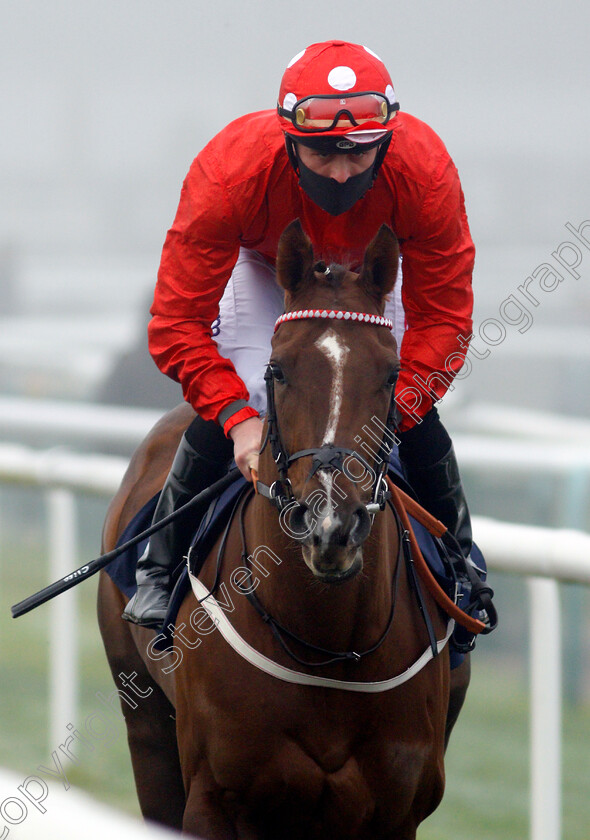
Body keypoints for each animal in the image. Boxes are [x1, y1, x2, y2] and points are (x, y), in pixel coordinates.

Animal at [100, 223, 472, 840]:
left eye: (391, 374)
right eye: (278, 370)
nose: (331, 525)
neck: (332, 646)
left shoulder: (397, 809)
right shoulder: (215, 800)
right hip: (145, 726)